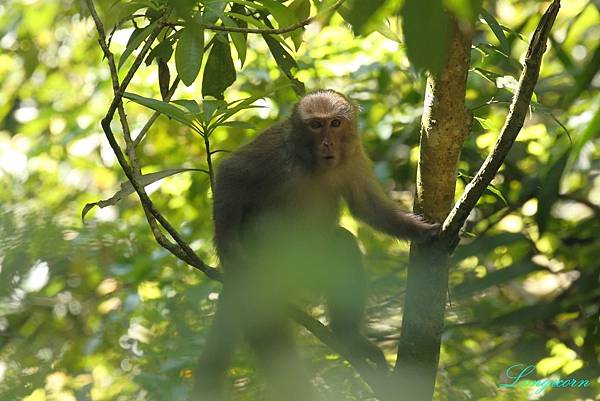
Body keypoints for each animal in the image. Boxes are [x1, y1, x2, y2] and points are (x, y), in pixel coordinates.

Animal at [193, 90, 440, 400]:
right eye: (315, 125)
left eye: (335, 123)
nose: (327, 143)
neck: (311, 165)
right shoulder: (274, 151)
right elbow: (231, 173)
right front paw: (228, 249)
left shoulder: (352, 159)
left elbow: (368, 207)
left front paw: (420, 231)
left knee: (341, 244)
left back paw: (348, 336)